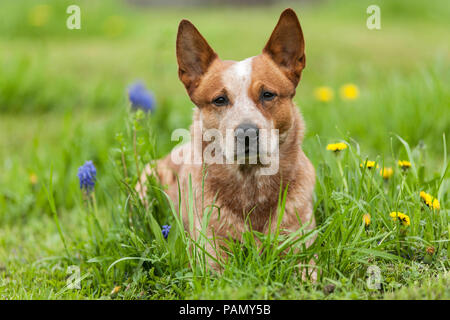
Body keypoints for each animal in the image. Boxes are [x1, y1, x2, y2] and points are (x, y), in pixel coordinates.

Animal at [137, 8, 316, 276]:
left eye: (267, 94)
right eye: (220, 99)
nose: (247, 132)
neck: (251, 186)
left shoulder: (302, 245)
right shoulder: (210, 256)